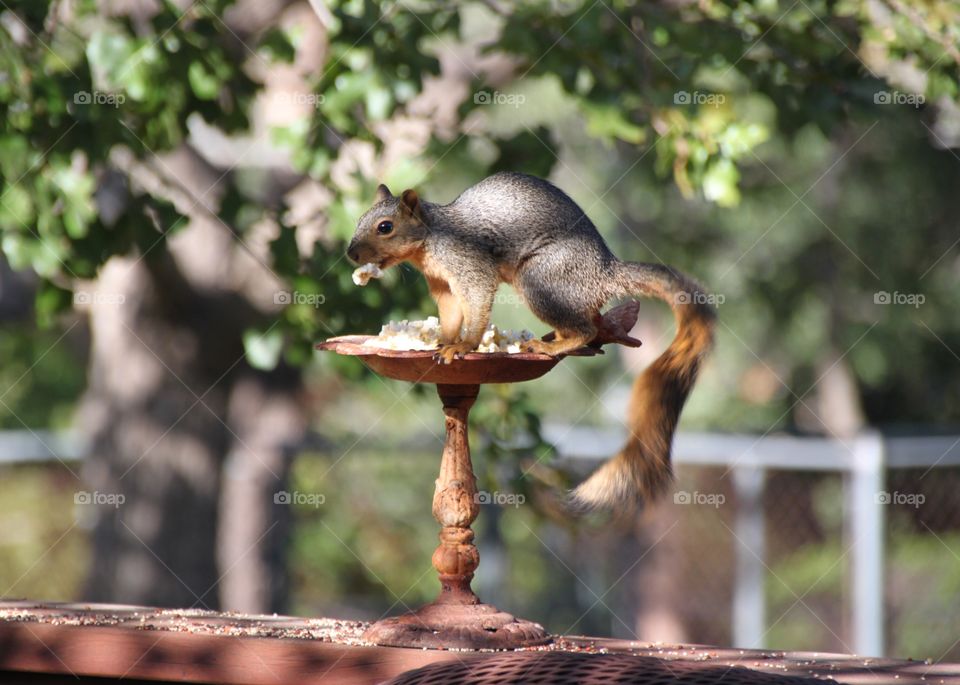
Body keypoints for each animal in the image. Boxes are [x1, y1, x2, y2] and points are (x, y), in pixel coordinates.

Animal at [344, 174, 712, 510]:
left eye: (385, 227)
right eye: (360, 219)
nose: (350, 254)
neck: (431, 239)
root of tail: (603, 273)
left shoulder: (469, 265)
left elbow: (476, 300)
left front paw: (464, 346)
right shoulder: (442, 284)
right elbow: (450, 316)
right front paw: (441, 343)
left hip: (539, 279)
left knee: (583, 328)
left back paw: (551, 346)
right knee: (591, 322)